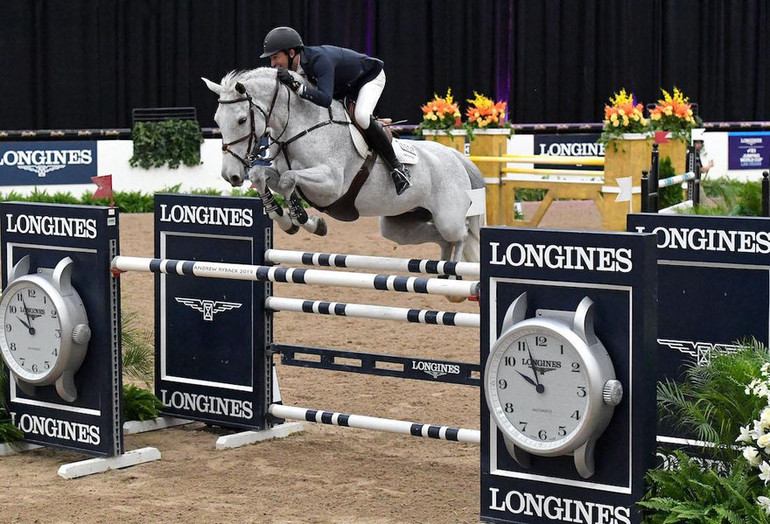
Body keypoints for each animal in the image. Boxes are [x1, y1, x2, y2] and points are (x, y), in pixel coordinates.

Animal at [201, 68, 484, 266]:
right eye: (217, 119)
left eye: (241, 119)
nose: (231, 175)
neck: (301, 127)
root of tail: (456, 157)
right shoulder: (281, 173)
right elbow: (262, 175)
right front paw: (285, 219)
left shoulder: (331, 185)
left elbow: (288, 179)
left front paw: (303, 218)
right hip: (399, 224)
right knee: (441, 238)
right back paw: (445, 273)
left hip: (448, 216)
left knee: (461, 234)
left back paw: (454, 283)